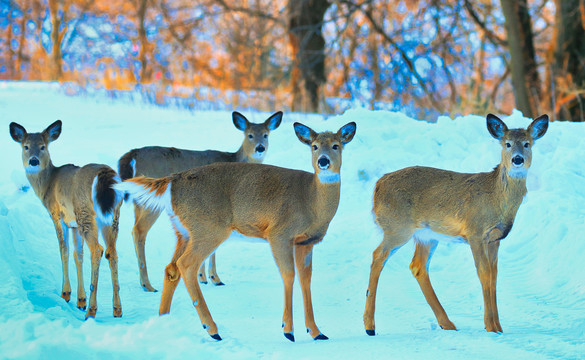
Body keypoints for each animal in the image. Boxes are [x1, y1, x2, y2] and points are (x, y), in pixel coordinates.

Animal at [9, 120, 124, 318]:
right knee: (112, 252)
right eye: (26, 147)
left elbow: (64, 250)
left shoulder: (57, 215)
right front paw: (81, 300)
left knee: (97, 250)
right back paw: (117, 309)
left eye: (43, 146)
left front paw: (66, 293)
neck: (47, 184)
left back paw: (92, 310)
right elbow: (79, 255)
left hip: (85, 212)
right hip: (112, 217)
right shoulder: (74, 225)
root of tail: (106, 175)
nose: (33, 161)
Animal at [117, 111, 282, 292]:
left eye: (266, 134)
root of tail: (132, 155)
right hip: (152, 202)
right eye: (249, 135)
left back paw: (143, 282)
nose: (260, 148)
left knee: (135, 229)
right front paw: (214, 278)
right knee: (139, 230)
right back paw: (148, 284)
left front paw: (202, 276)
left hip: (139, 201)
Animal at [362, 113, 548, 334]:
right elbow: (484, 273)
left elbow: (494, 276)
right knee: (377, 256)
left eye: (527, 144)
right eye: (508, 144)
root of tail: (377, 186)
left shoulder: (495, 239)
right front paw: (490, 327)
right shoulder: (475, 232)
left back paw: (447, 323)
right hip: (397, 227)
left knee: (417, 266)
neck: (496, 198)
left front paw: (499, 327)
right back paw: (369, 325)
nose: (517, 159)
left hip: (426, 236)